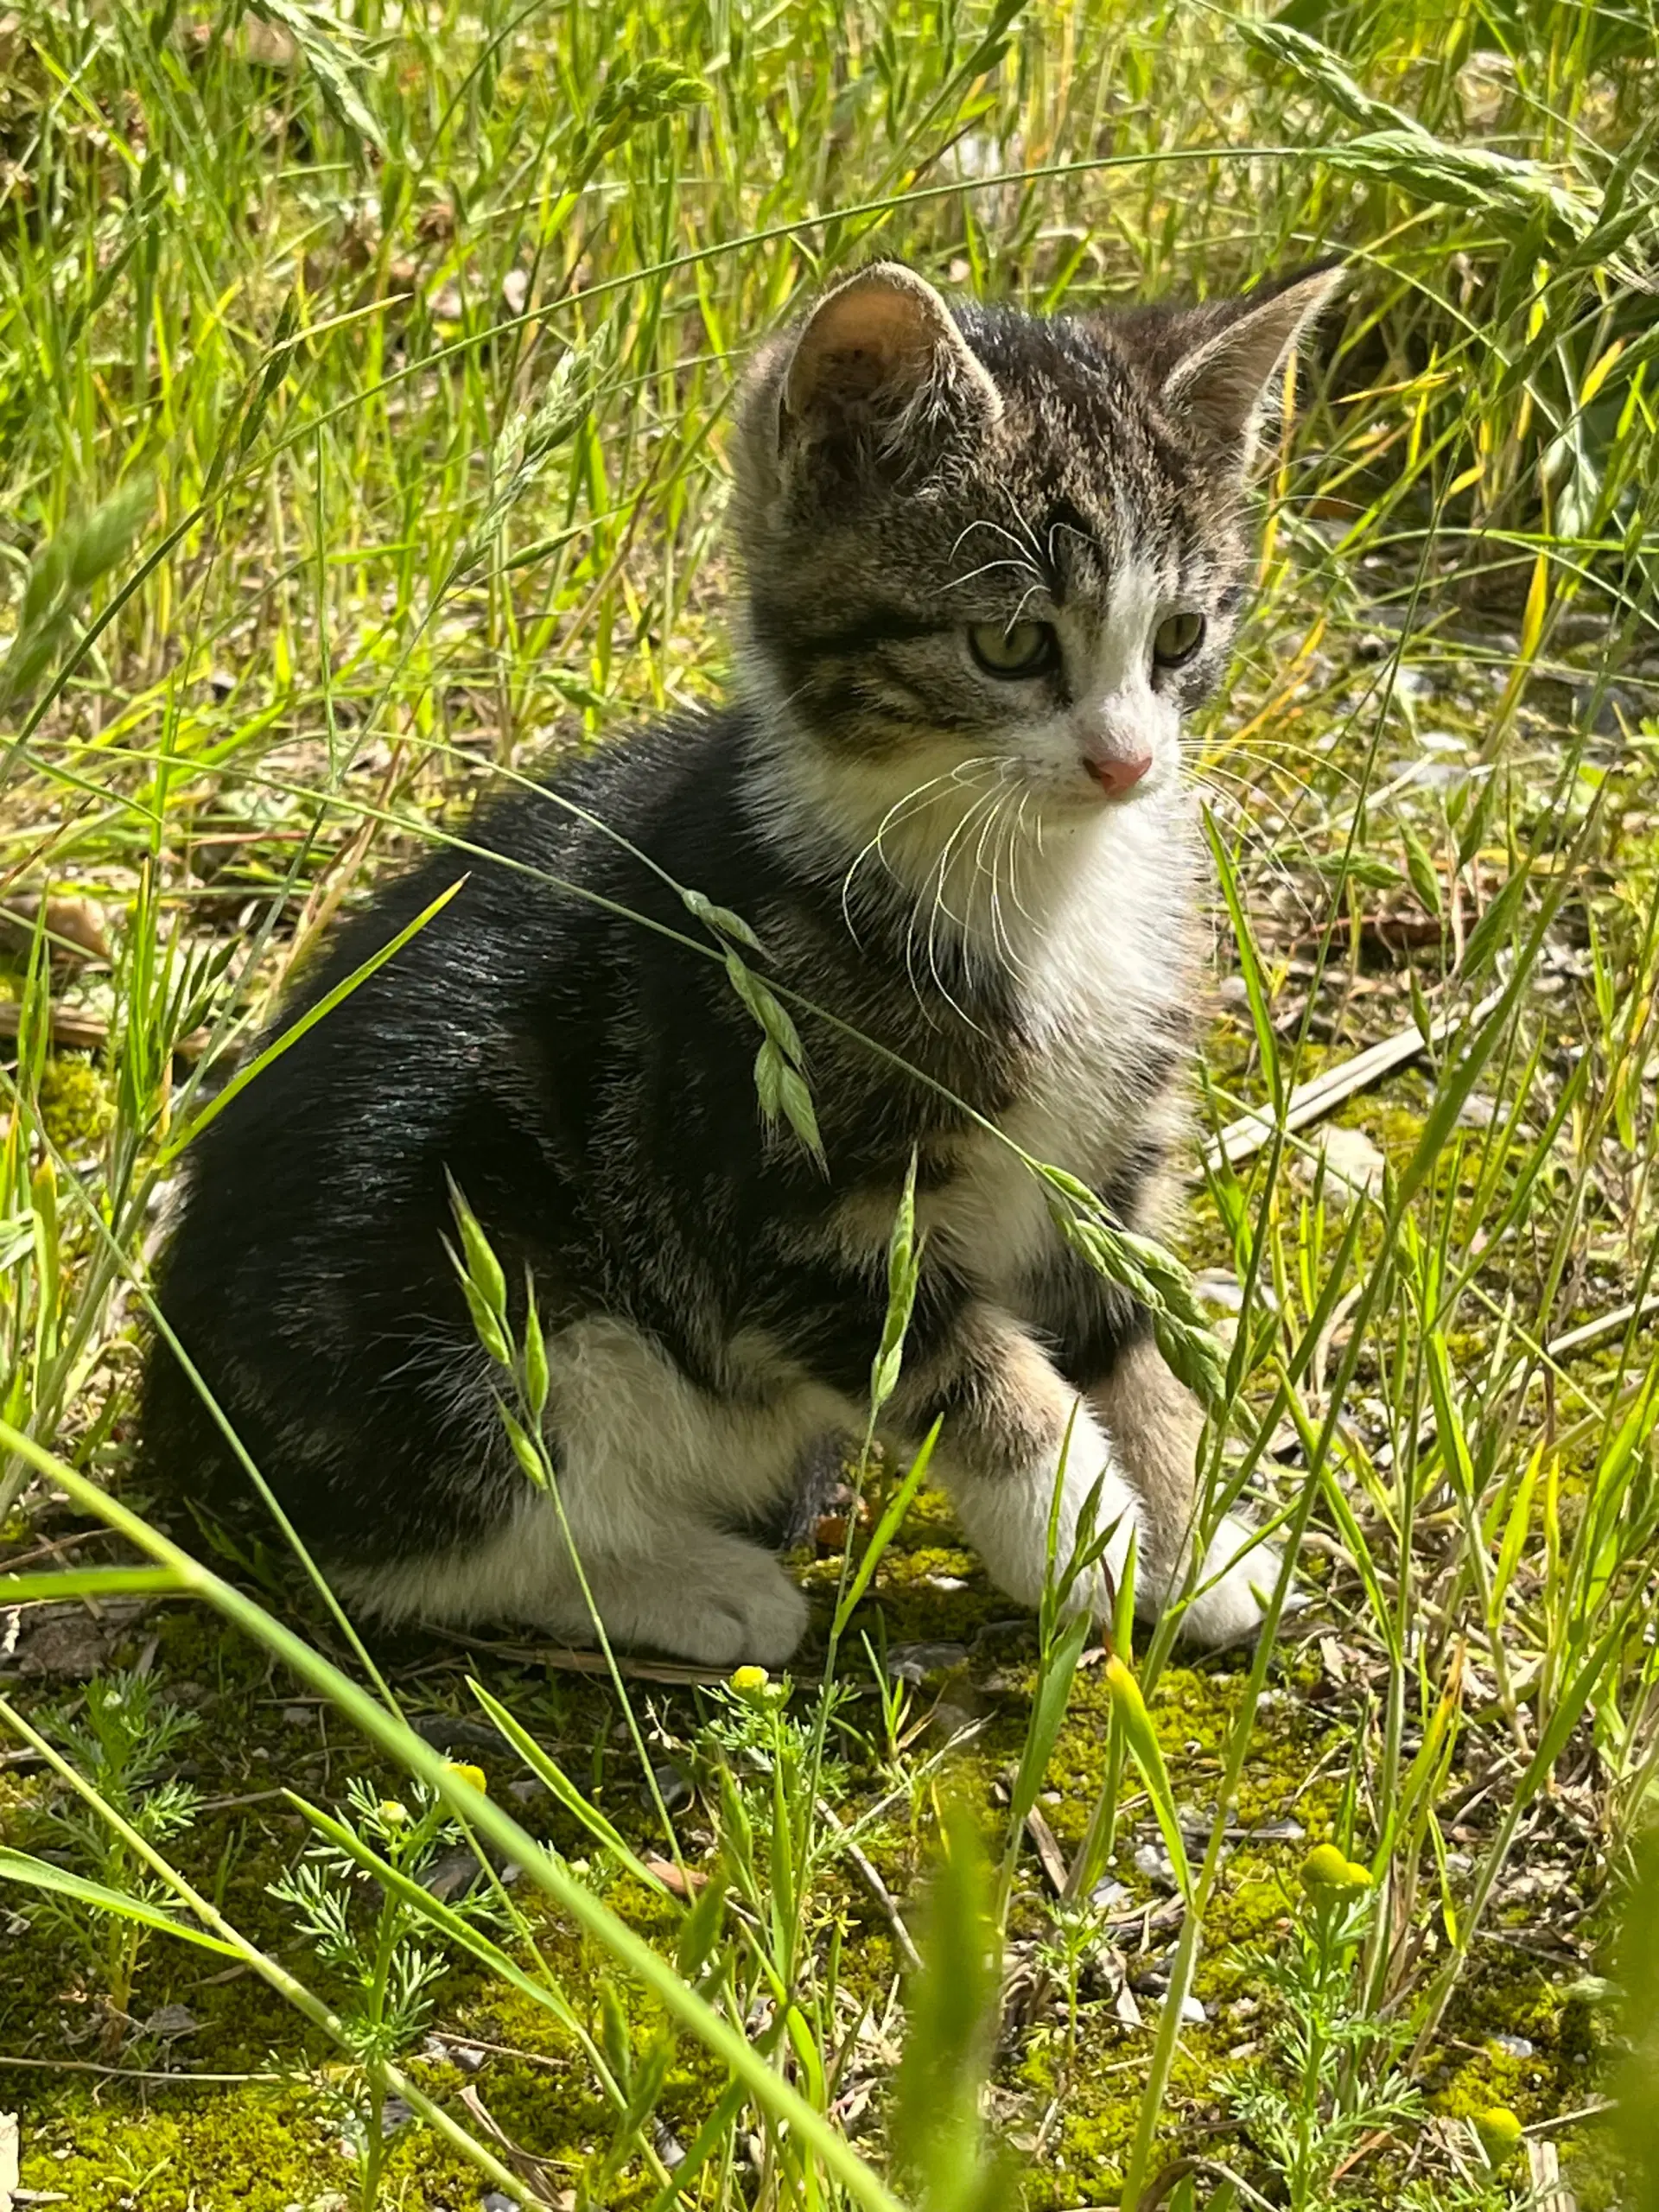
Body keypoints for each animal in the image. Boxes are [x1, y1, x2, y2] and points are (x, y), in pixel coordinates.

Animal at [139, 254, 1336, 1663]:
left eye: (1182, 639)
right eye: (1011, 644)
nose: (1127, 763)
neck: (1034, 880)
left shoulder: (1107, 1165)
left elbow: (1128, 1342)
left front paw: (1193, 1535)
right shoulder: (774, 1189)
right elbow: (965, 1370)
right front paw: (1077, 1535)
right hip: (454, 1301)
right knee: (412, 1539)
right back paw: (698, 1586)